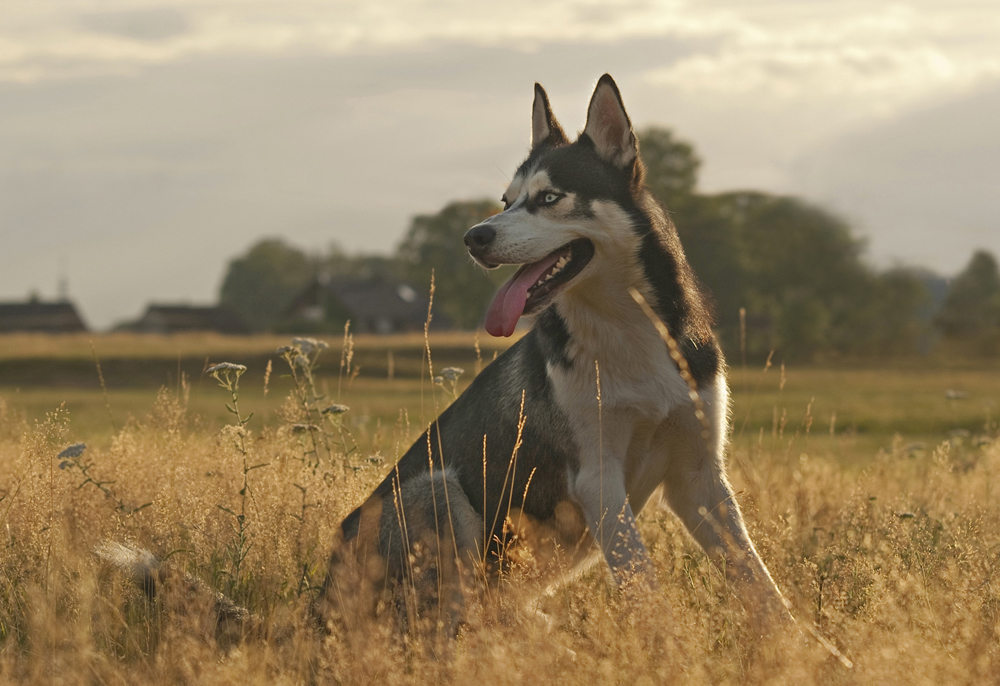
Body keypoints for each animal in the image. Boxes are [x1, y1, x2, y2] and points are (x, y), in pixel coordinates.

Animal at [316, 74, 792, 636]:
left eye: (547, 197)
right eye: (505, 200)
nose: (473, 237)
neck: (626, 333)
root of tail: (316, 601)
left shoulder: (699, 476)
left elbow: (761, 586)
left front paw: (809, 649)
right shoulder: (598, 477)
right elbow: (644, 584)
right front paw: (670, 646)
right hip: (438, 491)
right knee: (450, 625)